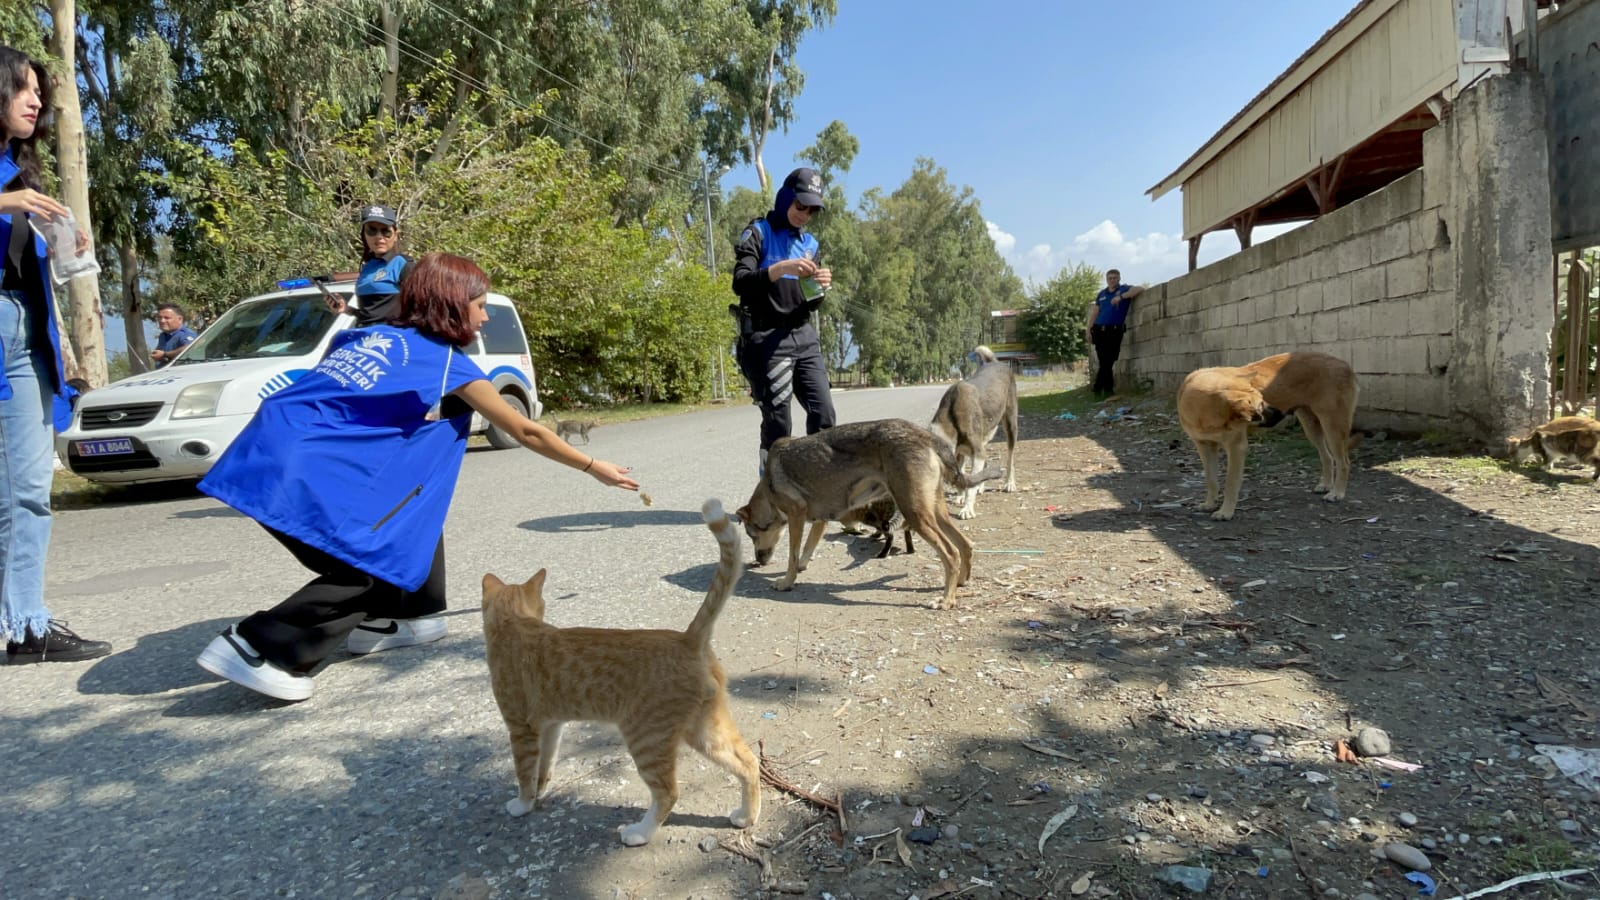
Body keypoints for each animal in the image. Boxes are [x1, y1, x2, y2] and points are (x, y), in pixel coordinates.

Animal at [480, 496, 761, 839]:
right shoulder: (551, 725)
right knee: (749, 762)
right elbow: (543, 767)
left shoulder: (521, 729)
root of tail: (687, 638)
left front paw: (522, 805)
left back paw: (639, 833)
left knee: (668, 792)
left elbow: (524, 773)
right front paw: (538, 793)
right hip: (705, 730)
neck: (514, 623)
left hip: (646, 738)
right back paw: (747, 816)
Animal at [736, 416, 998, 605]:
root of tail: (925, 435)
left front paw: (786, 582)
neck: (768, 483)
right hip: (933, 510)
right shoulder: (819, 519)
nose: (758, 561)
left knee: (951, 553)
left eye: (752, 534)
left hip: (915, 513)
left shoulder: (796, 516)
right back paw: (961, 583)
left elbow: (792, 555)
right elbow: (807, 549)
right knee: (965, 544)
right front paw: (801, 567)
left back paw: (946, 600)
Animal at [1177, 350, 1363, 518]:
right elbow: (1211, 480)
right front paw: (1209, 504)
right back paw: (1326, 485)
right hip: (1311, 427)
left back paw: (1337, 493)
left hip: (1332, 426)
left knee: (1344, 461)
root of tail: (1344, 363)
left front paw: (1225, 512)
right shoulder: (1204, 447)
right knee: (1327, 457)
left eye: (1262, 399)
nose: (1281, 412)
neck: (1204, 412)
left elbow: (1231, 482)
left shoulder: (1237, 447)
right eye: (1259, 406)